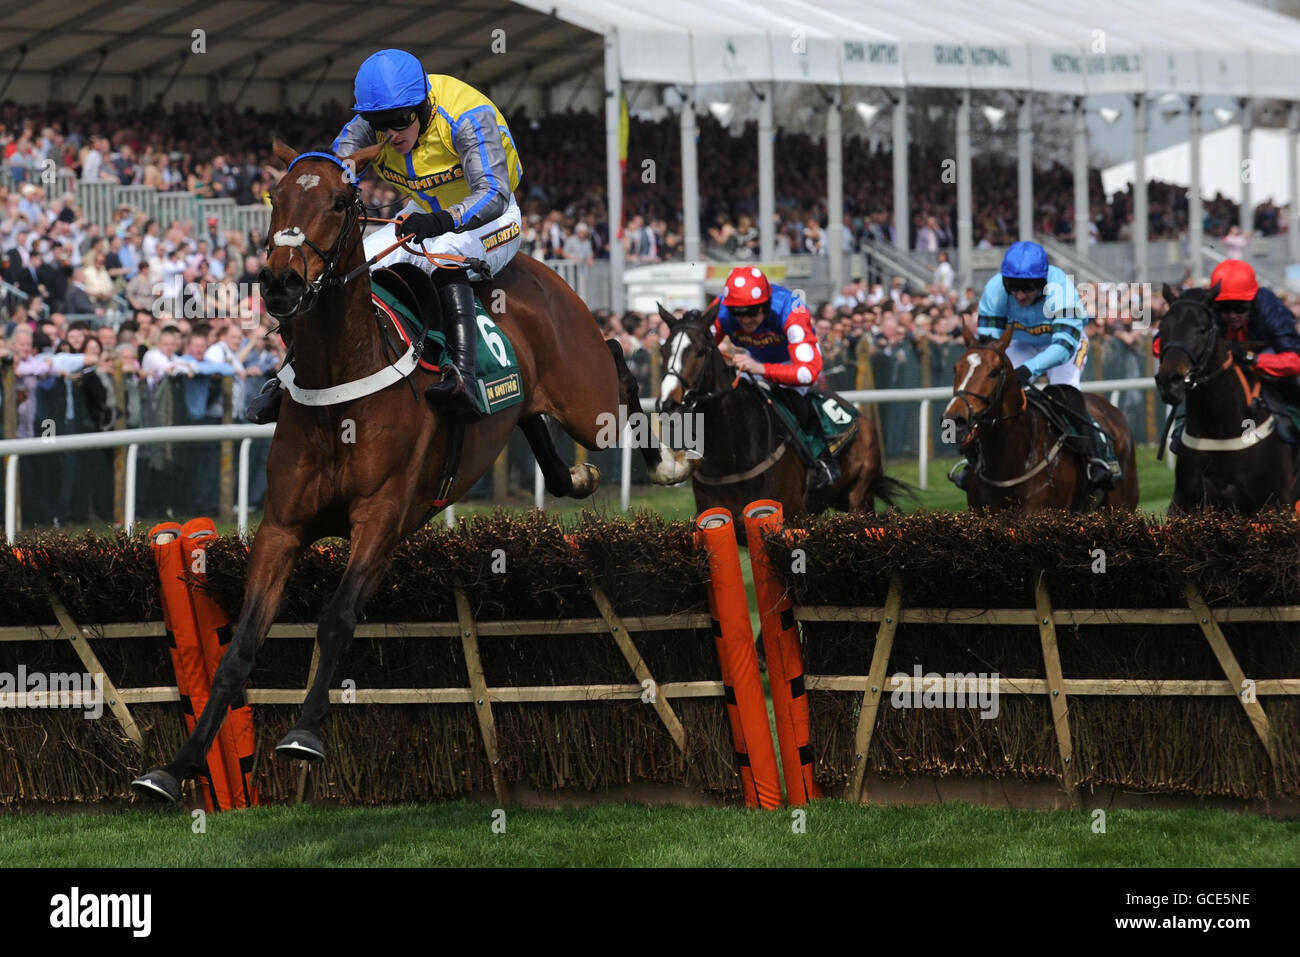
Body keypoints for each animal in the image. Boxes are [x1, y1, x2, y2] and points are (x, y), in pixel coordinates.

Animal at [131, 141, 681, 800]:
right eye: (275, 196)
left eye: (340, 201)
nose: (282, 282)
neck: (339, 388)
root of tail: (542, 270)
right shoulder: (282, 528)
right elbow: (240, 645)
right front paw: (177, 764)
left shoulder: (381, 519)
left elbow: (337, 620)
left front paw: (305, 733)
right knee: (533, 418)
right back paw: (573, 476)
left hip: (585, 398)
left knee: (618, 362)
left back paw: (665, 457)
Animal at [655, 300, 909, 538]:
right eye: (664, 350)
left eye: (701, 351)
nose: (668, 403)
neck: (733, 455)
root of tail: (861, 417)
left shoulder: (787, 521)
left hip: (860, 497)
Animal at [1154, 282, 1294, 512]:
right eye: (1162, 328)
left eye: (1202, 329)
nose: (1169, 381)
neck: (1219, 430)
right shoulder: (1184, 503)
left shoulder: (1276, 504)